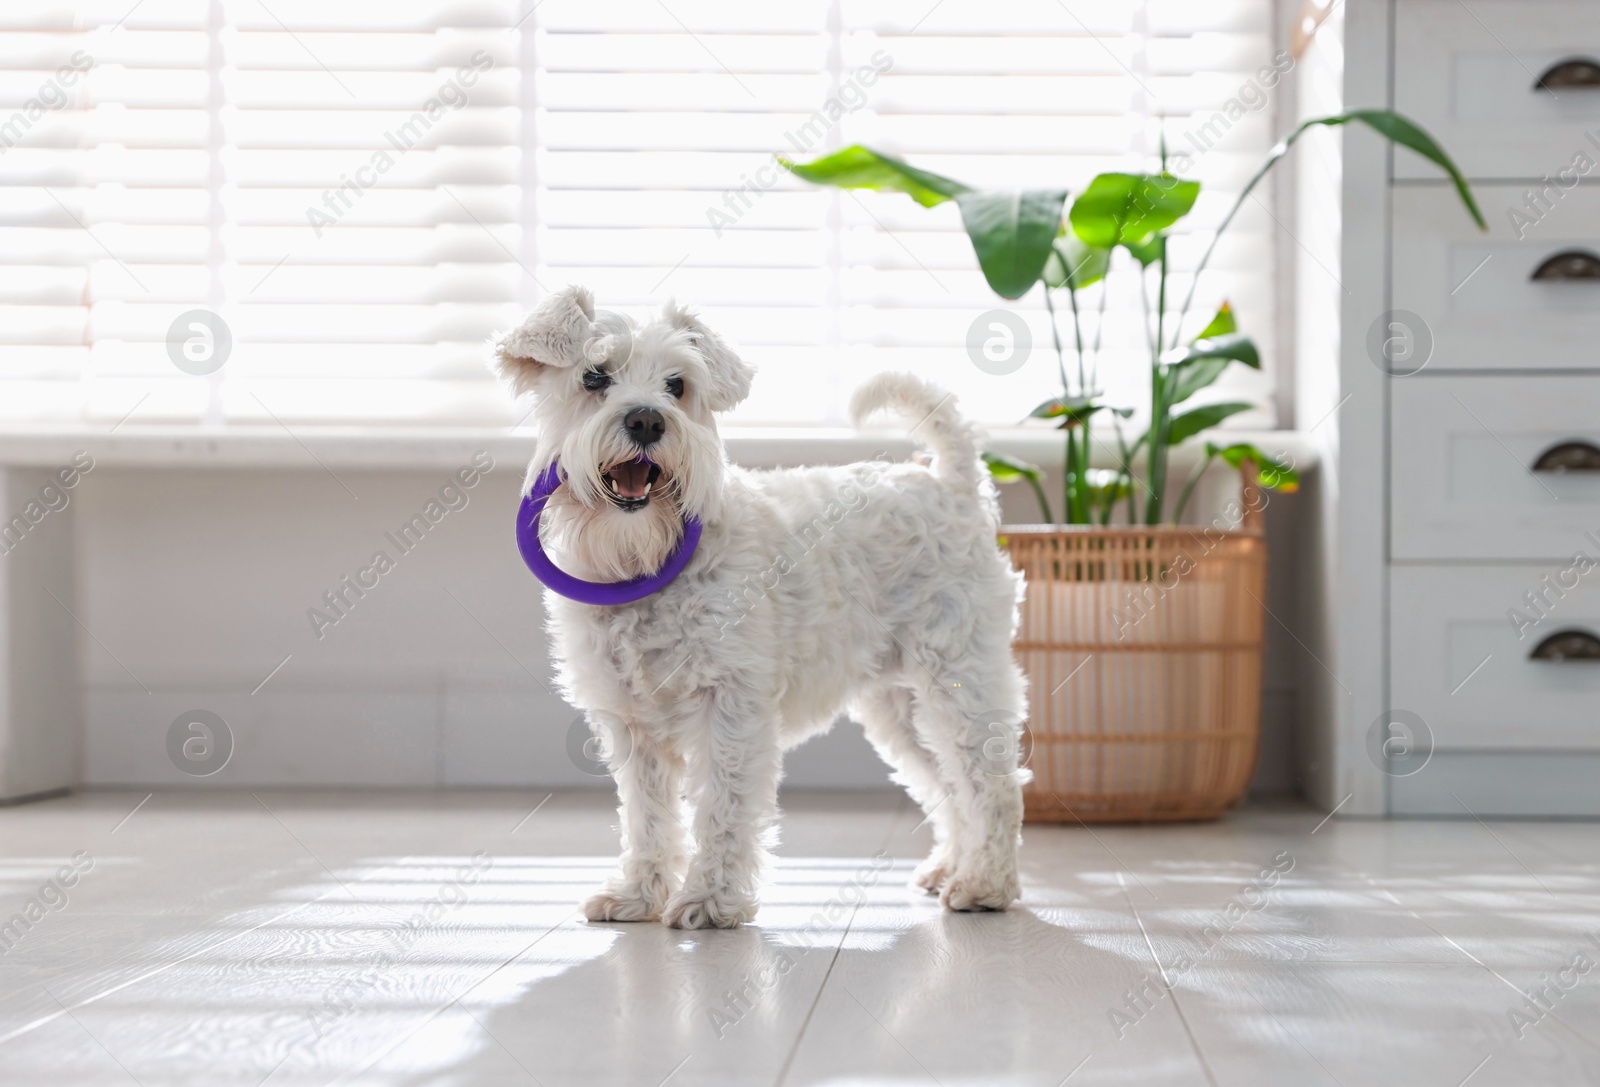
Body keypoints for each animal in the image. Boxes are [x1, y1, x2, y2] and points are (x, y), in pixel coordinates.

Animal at [492, 286, 1030, 928]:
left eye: (677, 385)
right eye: (594, 376)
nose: (647, 420)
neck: (644, 564)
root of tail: (953, 484)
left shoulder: (731, 707)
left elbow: (724, 809)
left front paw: (709, 901)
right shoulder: (631, 726)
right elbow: (647, 819)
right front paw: (637, 895)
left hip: (960, 681)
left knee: (991, 782)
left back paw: (985, 884)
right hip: (900, 708)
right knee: (947, 784)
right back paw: (951, 866)